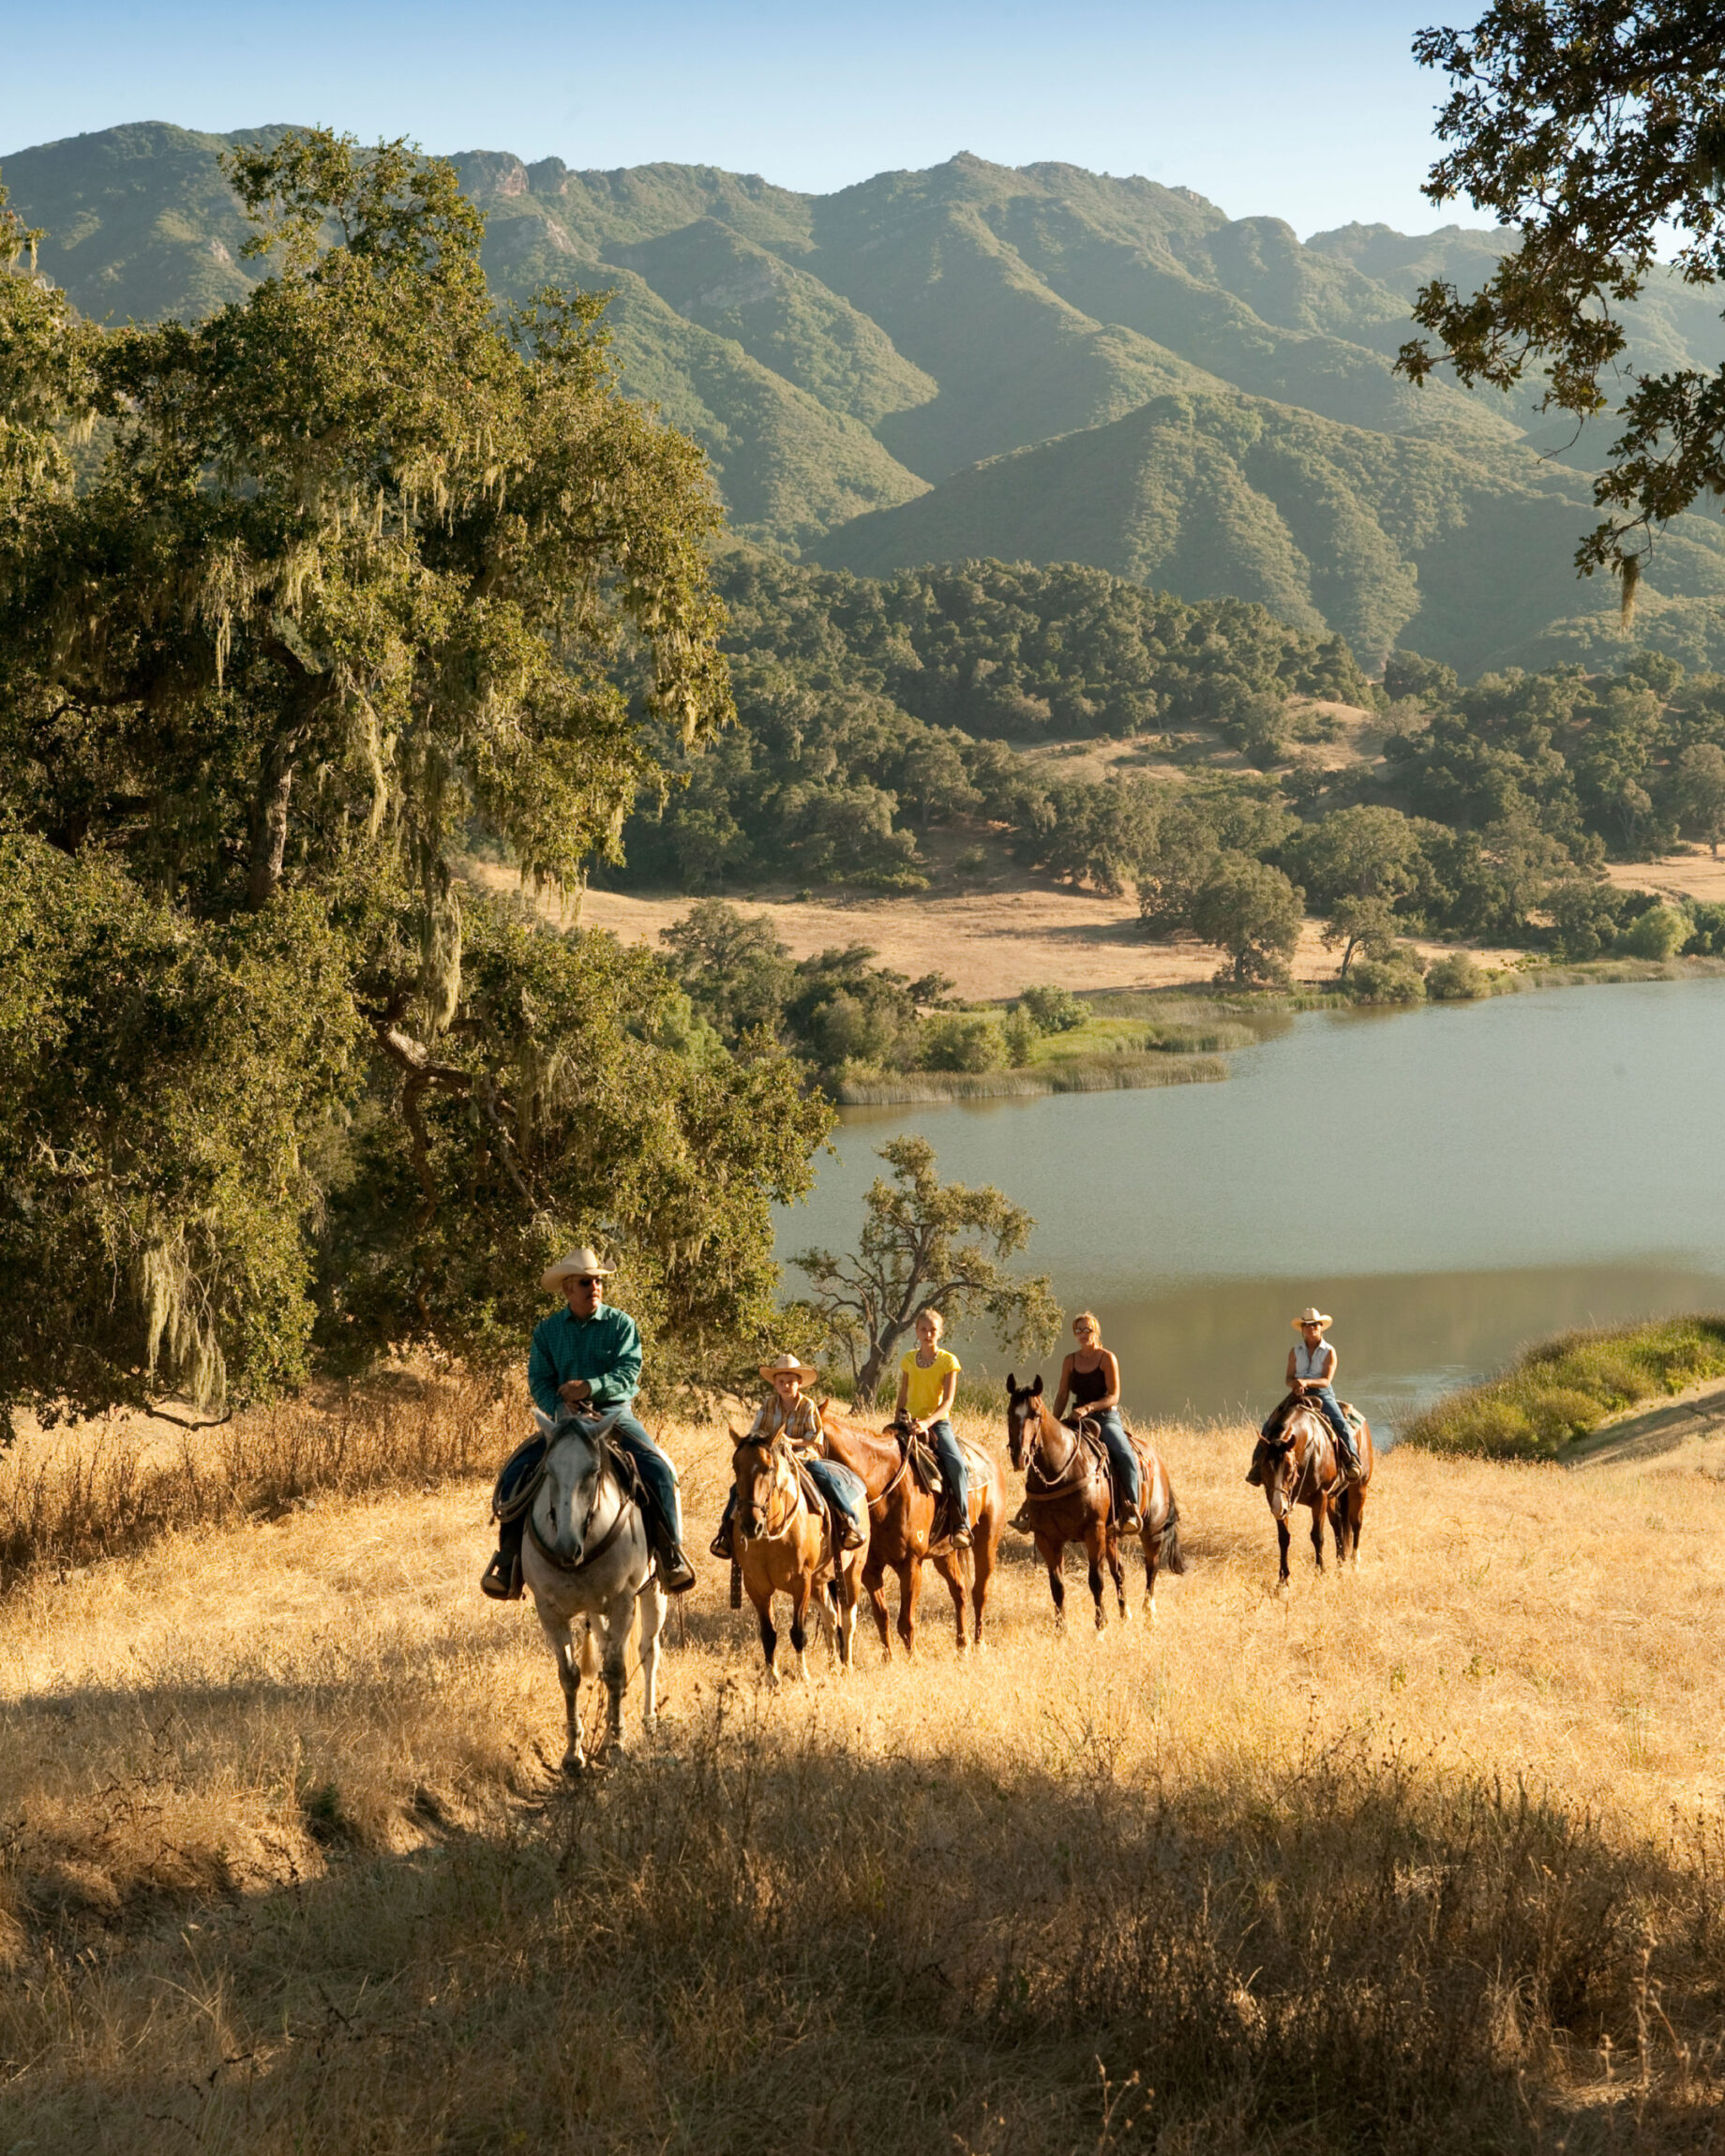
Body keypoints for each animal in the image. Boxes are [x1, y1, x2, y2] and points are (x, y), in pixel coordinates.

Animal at [519, 1405, 668, 1776]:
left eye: (593, 1471)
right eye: (548, 1470)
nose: (566, 1548)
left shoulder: (622, 1603)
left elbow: (615, 1672)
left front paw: (616, 1747)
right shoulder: (549, 1611)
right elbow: (570, 1676)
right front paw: (574, 1754)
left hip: (654, 1594)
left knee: (649, 1651)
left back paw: (649, 1721)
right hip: (595, 1611)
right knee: (603, 1649)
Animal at [728, 1431, 871, 1682]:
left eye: (769, 1468)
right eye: (736, 1467)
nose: (751, 1525)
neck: (772, 1536)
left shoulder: (800, 1582)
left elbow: (798, 1632)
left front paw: (803, 1675)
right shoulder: (756, 1586)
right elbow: (768, 1634)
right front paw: (771, 1678)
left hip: (852, 1571)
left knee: (847, 1619)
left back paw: (847, 1666)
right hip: (819, 1581)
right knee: (830, 1616)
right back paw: (833, 1665)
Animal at [815, 1405, 1004, 1655]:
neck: (883, 1485)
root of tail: (991, 1461)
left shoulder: (911, 1564)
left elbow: (905, 1621)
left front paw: (913, 1658)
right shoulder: (870, 1569)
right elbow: (882, 1617)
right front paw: (888, 1659)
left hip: (987, 1542)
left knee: (979, 1592)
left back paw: (978, 1642)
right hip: (945, 1554)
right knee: (960, 1591)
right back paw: (962, 1645)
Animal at [996, 1370, 1190, 1621]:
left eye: (1036, 1414)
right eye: (1010, 1413)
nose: (1020, 1457)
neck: (1062, 1469)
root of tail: (1156, 1459)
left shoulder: (1093, 1531)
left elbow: (1096, 1580)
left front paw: (1101, 1625)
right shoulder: (1047, 1537)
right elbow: (1057, 1586)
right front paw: (1061, 1628)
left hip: (1151, 1530)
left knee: (1152, 1567)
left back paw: (1149, 1613)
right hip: (1111, 1534)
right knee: (1120, 1571)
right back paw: (1125, 1614)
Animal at [1251, 1397, 1371, 1586]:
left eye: (1290, 1468)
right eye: (1264, 1466)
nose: (1279, 1508)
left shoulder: (1319, 1497)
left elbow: (1317, 1536)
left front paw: (1320, 1572)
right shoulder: (1275, 1498)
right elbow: (1283, 1538)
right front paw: (1283, 1581)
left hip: (1359, 1487)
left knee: (1356, 1522)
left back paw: (1354, 1563)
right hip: (1332, 1496)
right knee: (1338, 1523)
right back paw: (1340, 1563)